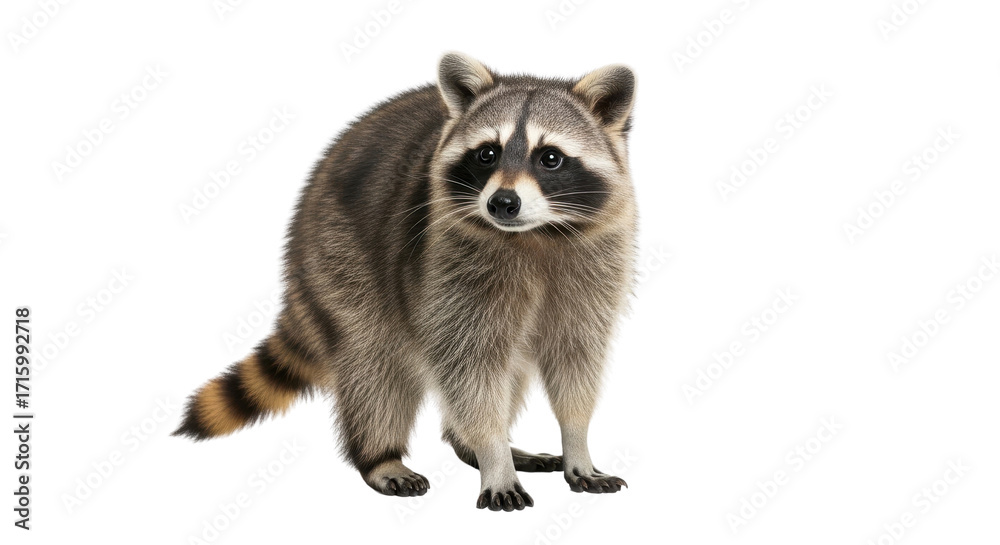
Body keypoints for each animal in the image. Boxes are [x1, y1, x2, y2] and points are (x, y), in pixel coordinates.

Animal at [174, 53, 637, 511]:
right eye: (487, 154)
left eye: (550, 158)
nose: (502, 203)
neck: (534, 234)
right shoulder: (447, 265)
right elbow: (470, 369)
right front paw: (492, 454)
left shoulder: (596, 266)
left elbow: (575, 359)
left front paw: (576, 442)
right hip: (339, 256)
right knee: (373, 364)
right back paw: (382, 456)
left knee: (511, 366)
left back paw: (468, 444)